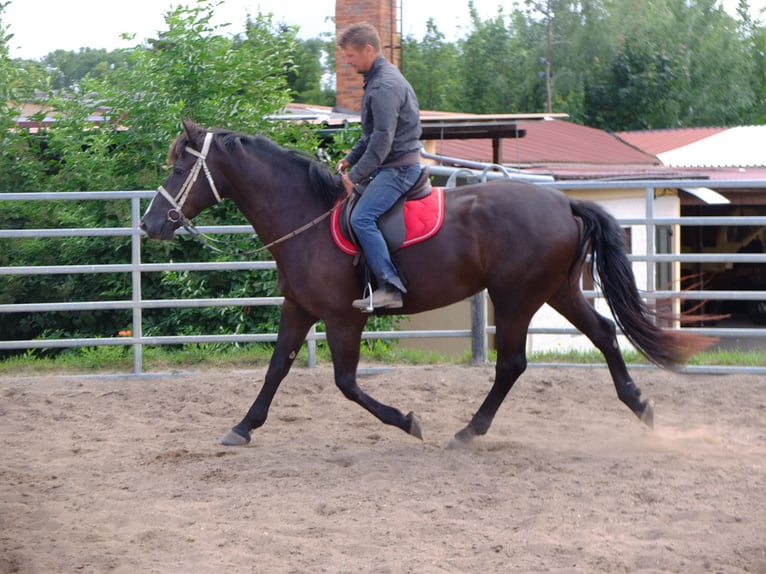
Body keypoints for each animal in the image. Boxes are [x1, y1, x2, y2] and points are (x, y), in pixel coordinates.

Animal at [141, 119, 712, 448]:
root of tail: (562, 203)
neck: (305, 216)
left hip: (515, 298)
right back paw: (641, 407)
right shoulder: (298, 307)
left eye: (178, 168)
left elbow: (346, 383)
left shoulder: (344, 317)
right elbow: (277, 366)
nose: (150, 224)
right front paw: (243, 426)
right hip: (558, 291)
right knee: (603, 334)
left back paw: (467, 432)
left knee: (513, 364)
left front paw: (408, 421)